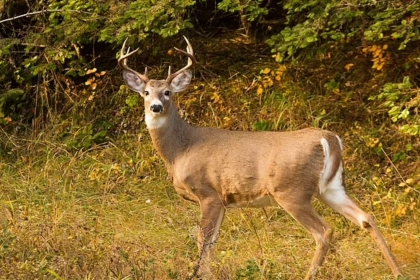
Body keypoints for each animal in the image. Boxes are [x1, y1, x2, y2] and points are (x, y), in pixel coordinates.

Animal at [117, 37, 400, 280]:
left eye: (167, 92)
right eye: (145, 92)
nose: (155, 107)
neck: (180, 150)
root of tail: (329, 138)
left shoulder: (208, 192)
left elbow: (203, 239)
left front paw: (199, 273)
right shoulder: (223, 200)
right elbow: (212, 241)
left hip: (292, 191)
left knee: (324, 231)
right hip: (331, 187)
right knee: (366, 218)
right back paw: (397, 271)